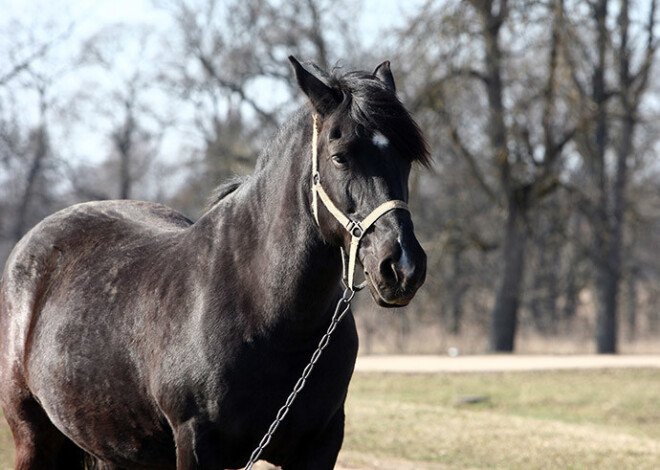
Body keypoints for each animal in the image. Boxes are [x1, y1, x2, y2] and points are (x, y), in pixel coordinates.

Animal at [0, 57, 430, 468]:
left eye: (407, 158)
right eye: (340, 157)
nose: (402, 267)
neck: (264, 313)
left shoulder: (321, 445)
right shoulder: (195, 442)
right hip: (33, 436)